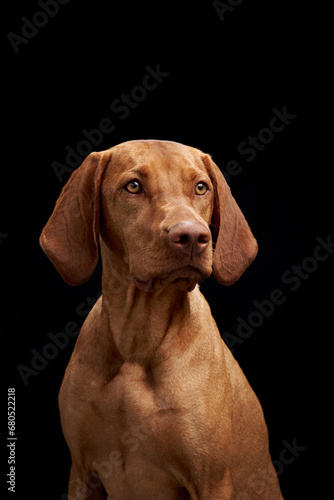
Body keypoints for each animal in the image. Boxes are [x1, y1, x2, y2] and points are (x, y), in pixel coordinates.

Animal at [40, 141, 284, 500]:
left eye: (201, 187)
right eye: (133, 186)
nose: (193, 237)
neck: (137, 337)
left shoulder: (211, 482)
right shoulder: (82, 474)